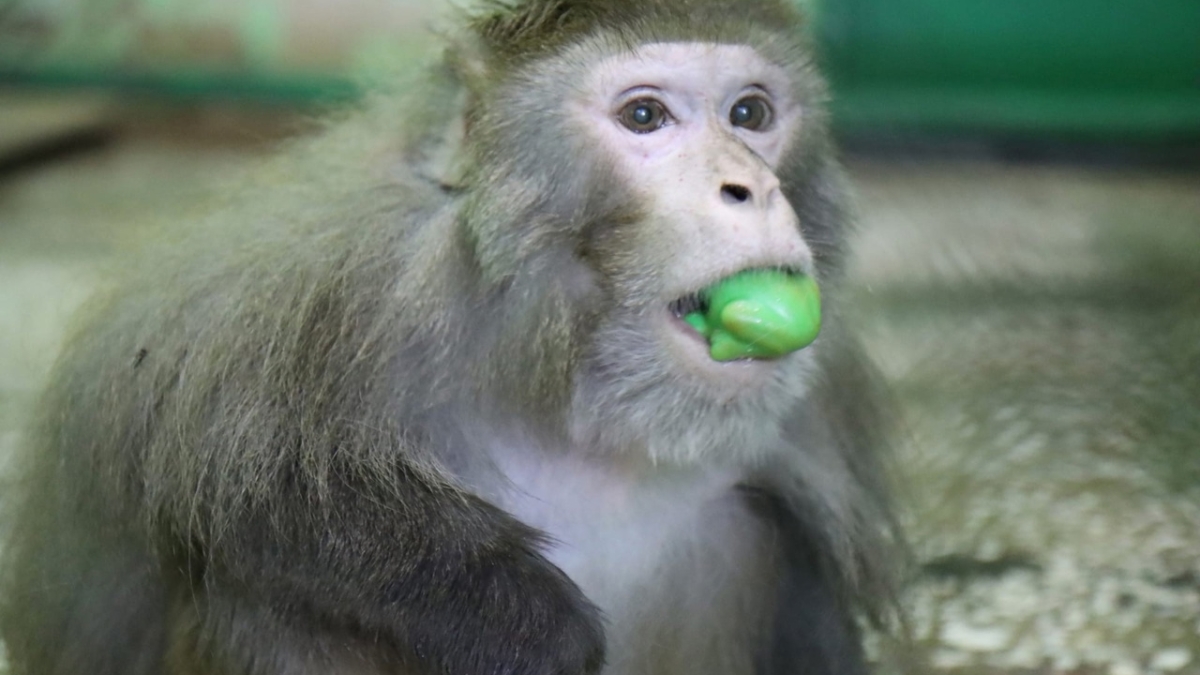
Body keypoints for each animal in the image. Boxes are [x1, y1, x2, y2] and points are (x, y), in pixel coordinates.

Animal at [0, 1, 902, 672]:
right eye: (645, 115)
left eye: (751, 113)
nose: (747, 187)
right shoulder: (332, 275)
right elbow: (226, 489)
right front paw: (524, 621)